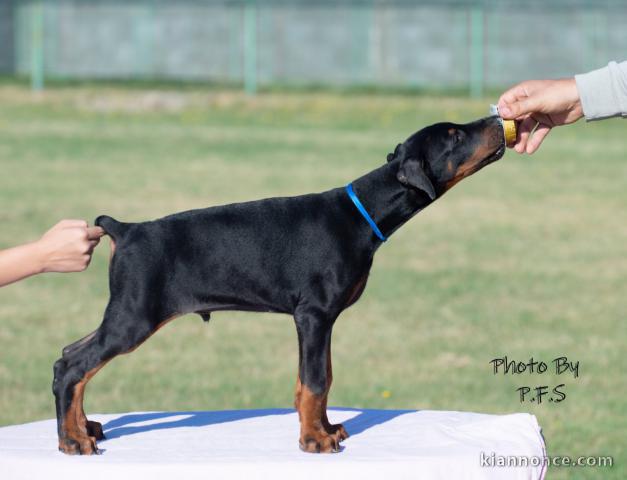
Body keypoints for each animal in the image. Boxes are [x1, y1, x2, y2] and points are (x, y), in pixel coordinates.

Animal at [52, 115, 506, 454]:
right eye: (455, 135)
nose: (496, 119)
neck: (361, 214)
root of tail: (125, 229)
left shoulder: (322, 321)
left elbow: (321, 377)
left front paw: (327, 428)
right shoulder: (314, 315)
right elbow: (315, 381)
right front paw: (314, 440)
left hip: (126, 313)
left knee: (68, 358)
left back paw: (83, 428)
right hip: (135, 316)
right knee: (76, 366)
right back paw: (73, 441)